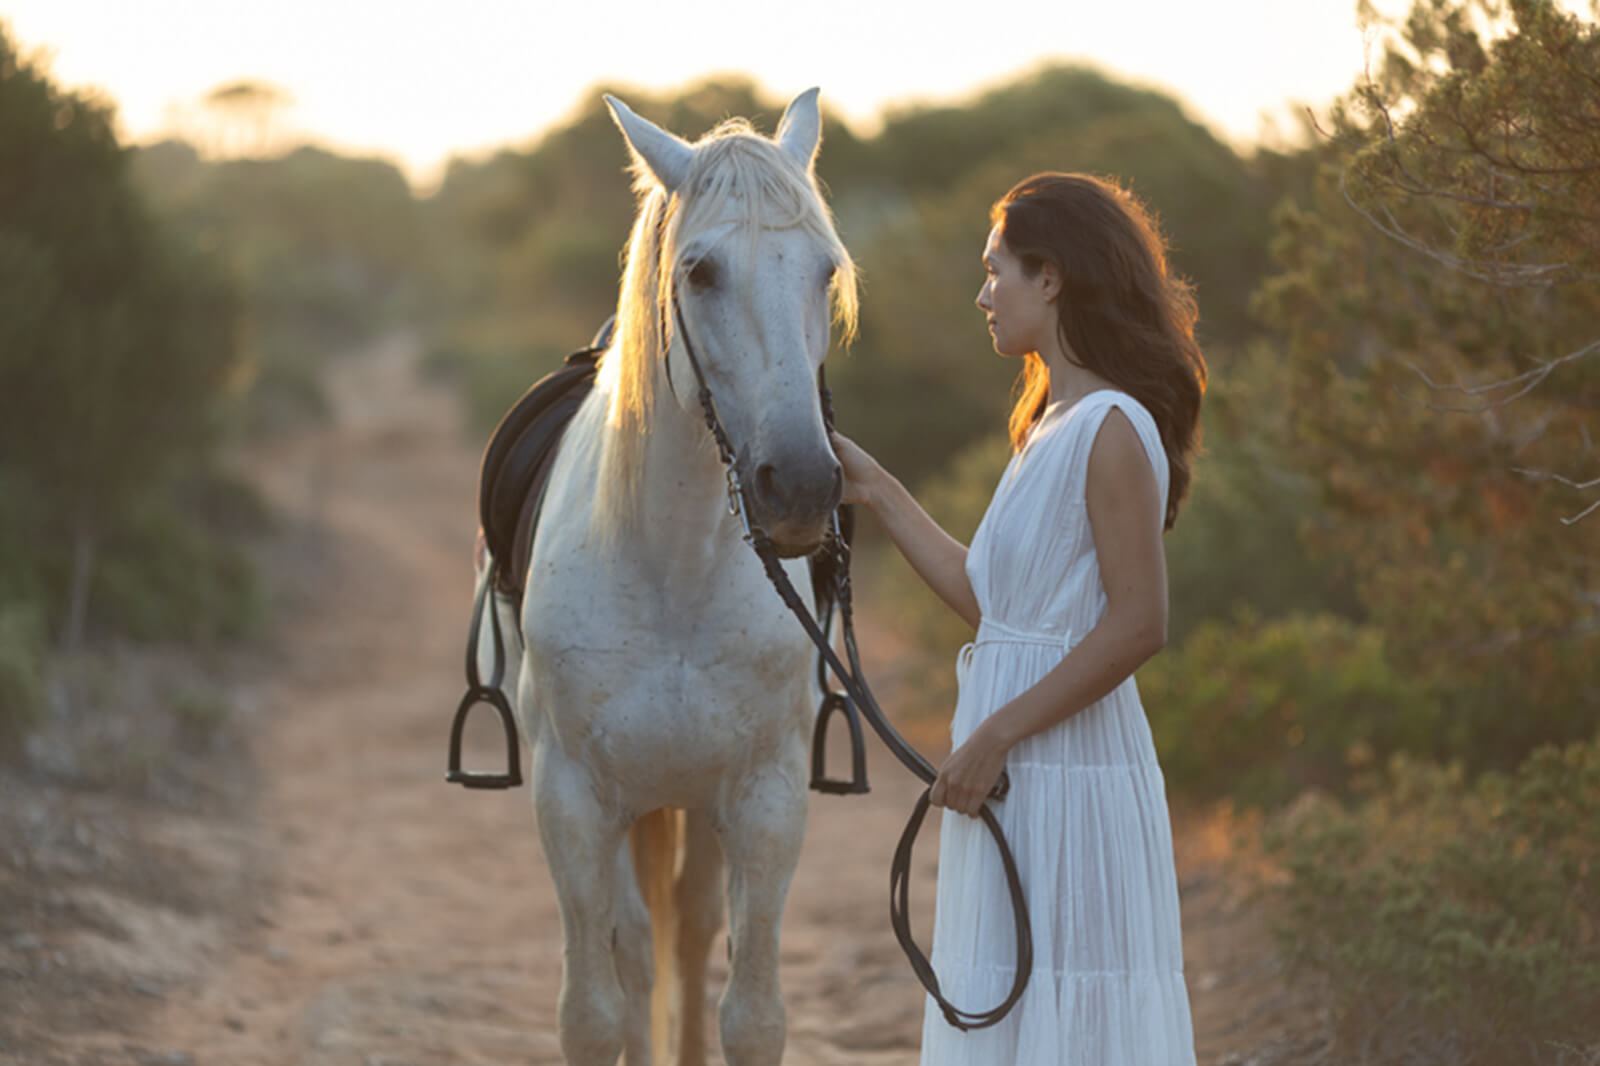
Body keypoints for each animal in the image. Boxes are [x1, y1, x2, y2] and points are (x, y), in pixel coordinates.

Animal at [480, 91, 864, 1062]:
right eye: (701, 271)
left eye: (825, 272)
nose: (800, 485)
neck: (675, 569)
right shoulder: (575, 803)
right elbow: (594, 1007)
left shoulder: (764, 802)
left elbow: (751, 1012)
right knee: (639, 948)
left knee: (686, 935)